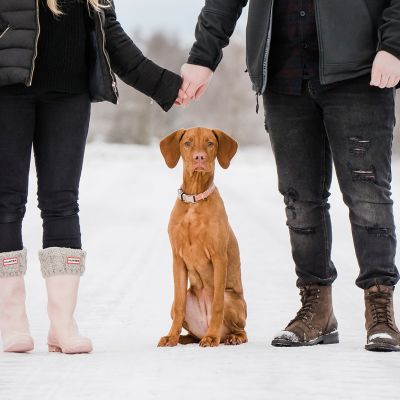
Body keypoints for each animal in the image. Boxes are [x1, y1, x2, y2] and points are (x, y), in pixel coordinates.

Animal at [157, 127, 247, 346]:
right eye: (188, 143)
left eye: (210, 143)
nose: (199, 157)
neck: (194, 202)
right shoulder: (177, 259)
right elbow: (180, 305)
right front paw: (171, 336)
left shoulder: (219, 257)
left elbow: (217, 305)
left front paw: (212, 337)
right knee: (187, 324)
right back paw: (184, 337)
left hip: (231, 299)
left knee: (241, 329)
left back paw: (227, 337)